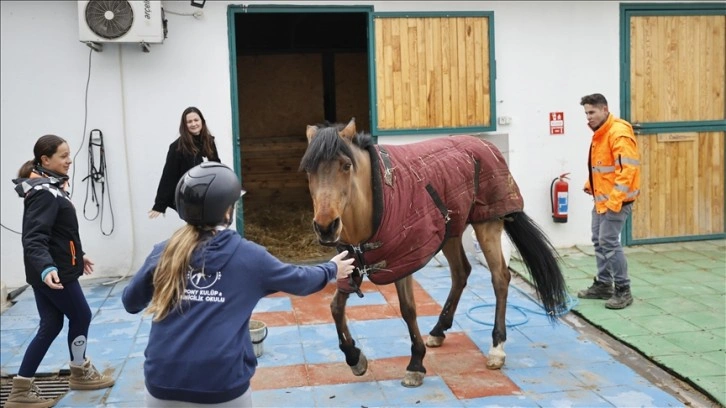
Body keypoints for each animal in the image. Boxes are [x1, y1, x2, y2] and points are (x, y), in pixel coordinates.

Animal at [298, 118, 568, 388]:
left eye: (346, 166)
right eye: (309, 170)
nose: (326, 227)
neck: (374, 198)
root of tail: (484, 144)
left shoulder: (402, 261)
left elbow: (408, 309)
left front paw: (416, 363)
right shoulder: (351, 261)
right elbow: (335, 307)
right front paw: (354, 357)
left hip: (487, 224)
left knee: (500, 277)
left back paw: (496, 348)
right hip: (451, 230)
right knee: (461, 272)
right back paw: (439, 330)